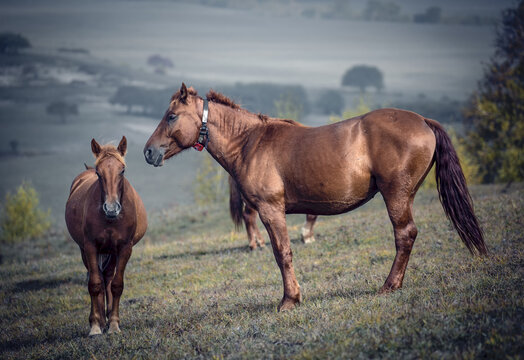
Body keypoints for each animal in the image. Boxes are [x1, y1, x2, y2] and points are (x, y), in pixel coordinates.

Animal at [66, 136, 147, 336]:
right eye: (98, 172)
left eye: (122, 170)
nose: (111, 208)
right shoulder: (90, 247)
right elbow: (94, 284)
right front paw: (95, 326)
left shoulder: (124, 248)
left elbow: (116, 285)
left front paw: (114, 324)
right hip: (87, 251)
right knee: (98, 279)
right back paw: (101, 320)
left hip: (112, 252)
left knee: (108, 278)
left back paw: (108, 317)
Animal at [143, 83, 488, 310]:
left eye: (171, 116)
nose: (148, 152)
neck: (249, 142)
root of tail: (422, 121)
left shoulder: (271, 210)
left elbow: (282, 254)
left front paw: (289, 300)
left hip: (396, 195)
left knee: (405, 234)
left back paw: (389, 286)